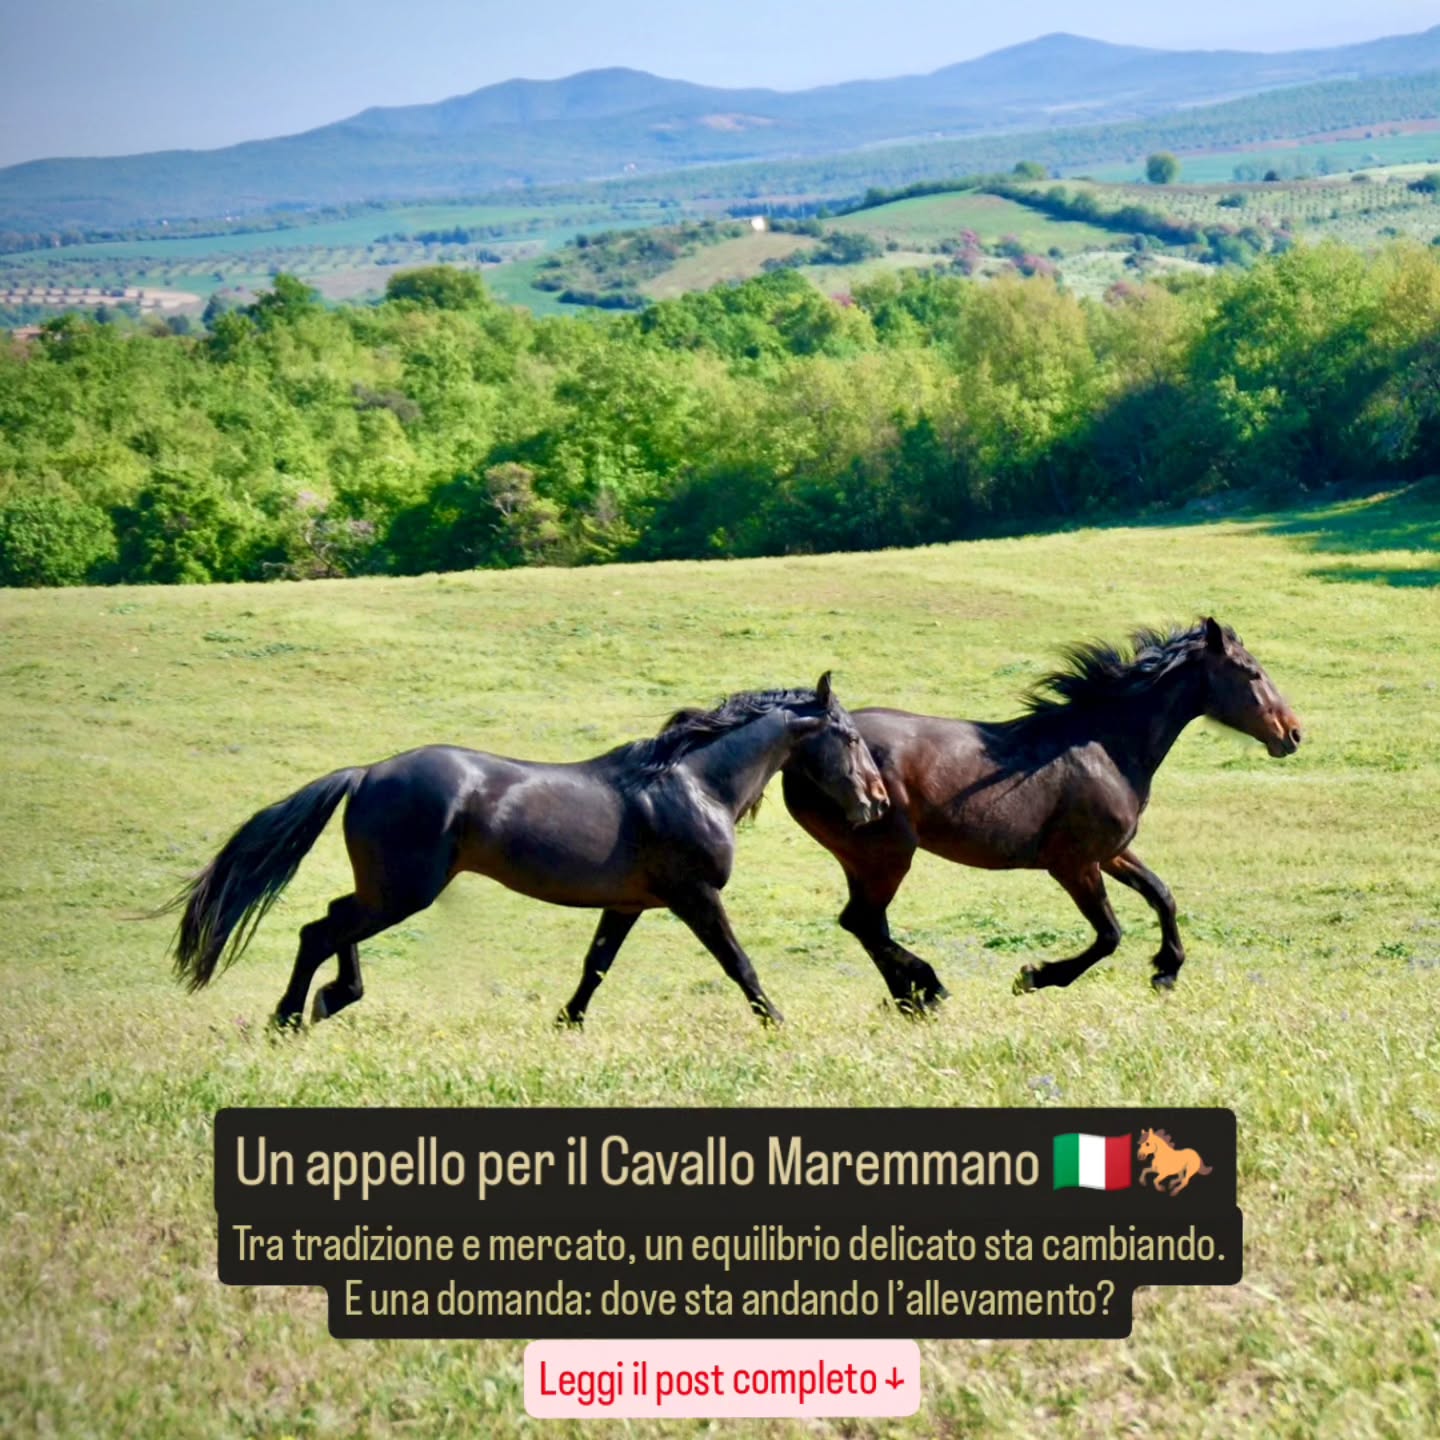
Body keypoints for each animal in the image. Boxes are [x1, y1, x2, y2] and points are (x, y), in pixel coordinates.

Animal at [163, 673, 889, 1029]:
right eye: (850, 737)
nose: (877, 803)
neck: (692, 783)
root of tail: (366, 773)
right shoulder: (694, 896)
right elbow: (739, 964)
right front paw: (778, 1023)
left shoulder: (631, 903)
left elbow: (596, 966)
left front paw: (566, 1023)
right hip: (404, 891)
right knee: (321, 930)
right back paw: (291, 1016)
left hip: (387, 889)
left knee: (334, 920)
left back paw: (332, 999)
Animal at [781, 619, 1303, 1007]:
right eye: (1251, 672)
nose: (1293, 733)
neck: (1106, 746)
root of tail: (797, 755)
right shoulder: (1072, 864)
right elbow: (1110, 934)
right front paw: (1034, 976)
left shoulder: (1111, 853)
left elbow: (1162, 895)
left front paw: (1166, 971)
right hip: (887, 856)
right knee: (864, 922)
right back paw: (929, 989)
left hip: (863, 861)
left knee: (868, 925)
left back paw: (910, 998)